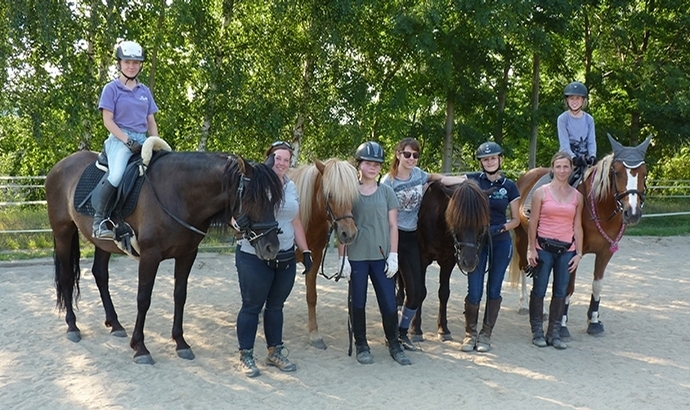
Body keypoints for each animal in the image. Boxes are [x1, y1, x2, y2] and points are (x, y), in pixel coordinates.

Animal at [47, 148, 282, 366]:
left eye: (275, 201)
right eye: (253, 198)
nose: (272, 247)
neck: (179, 194)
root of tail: (60, 166)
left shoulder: (188, 254)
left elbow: (180, 296)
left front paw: (180, 342)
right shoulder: (149, 256)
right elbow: (143, 299)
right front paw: (140, 347)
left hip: (103, 243)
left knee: (100, 275)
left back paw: (115, 324)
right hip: (63, 232)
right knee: (67, 277)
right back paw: (72, 326)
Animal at [286, 157, 358, 350]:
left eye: (353, 195)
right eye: (330, 194)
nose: (348, 234)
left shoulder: (315, 258)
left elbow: (312, 296)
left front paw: (314, 334)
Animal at [408, 178, 490, 342]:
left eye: (481, 223)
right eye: (456, 220)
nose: (469, 262)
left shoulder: (448, 261)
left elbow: (444, 293)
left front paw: (443, 329)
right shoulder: (421, 259)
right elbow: (421, 291)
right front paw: (415, 329)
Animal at [506, 135, 652, 336]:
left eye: (644, 173)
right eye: (617, 172)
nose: (633, 213)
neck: (599, 205)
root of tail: (526, 176)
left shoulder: (606, 252)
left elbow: (597, 286)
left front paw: (594, 321)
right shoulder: (574, 252)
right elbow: (568, 287)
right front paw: (562, 325)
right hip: (522, 236)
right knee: (523, 266)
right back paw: (524, 305)